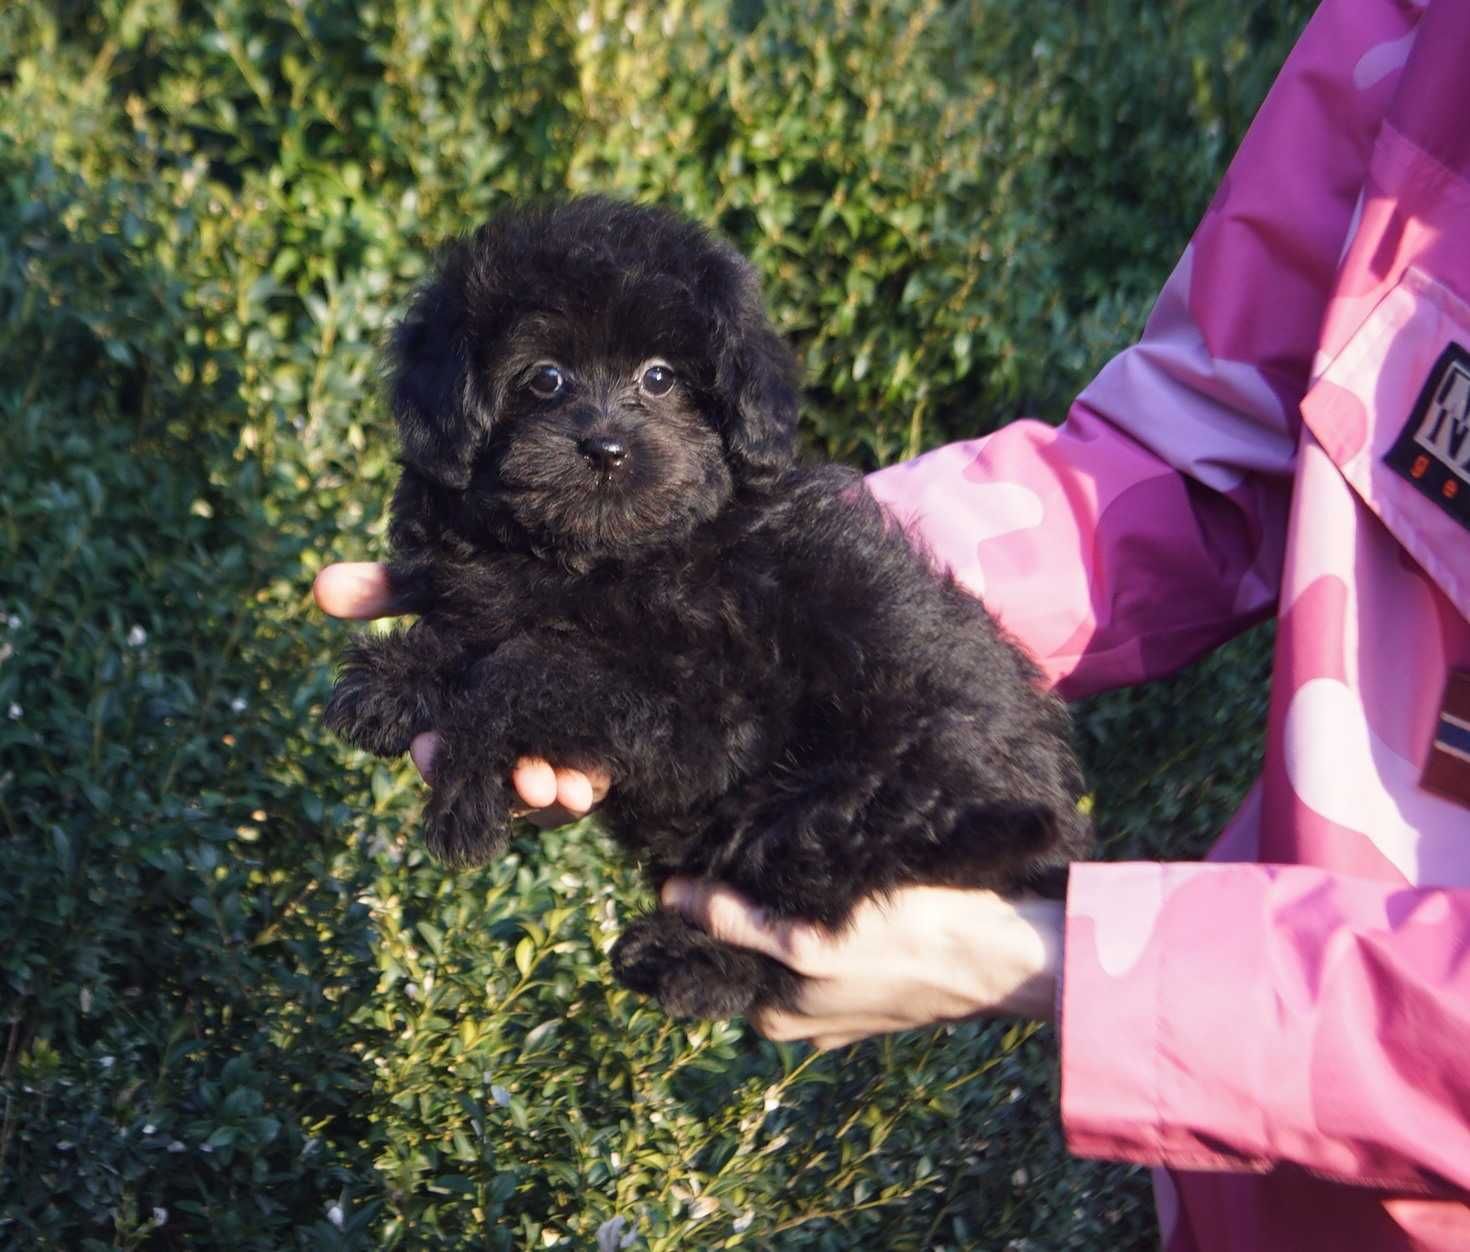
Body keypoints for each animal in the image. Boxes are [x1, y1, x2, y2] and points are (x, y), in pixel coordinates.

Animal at [324, 195, 1093, 1016]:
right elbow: (485, 627)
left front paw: (464, 793)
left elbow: (527, 666)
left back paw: (685, 962)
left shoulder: (704, 713)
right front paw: (393, 680)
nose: (607, 450)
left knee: (800, 924)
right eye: (546, 379)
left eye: (661, 378)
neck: (602, 558)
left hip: (841, 809)